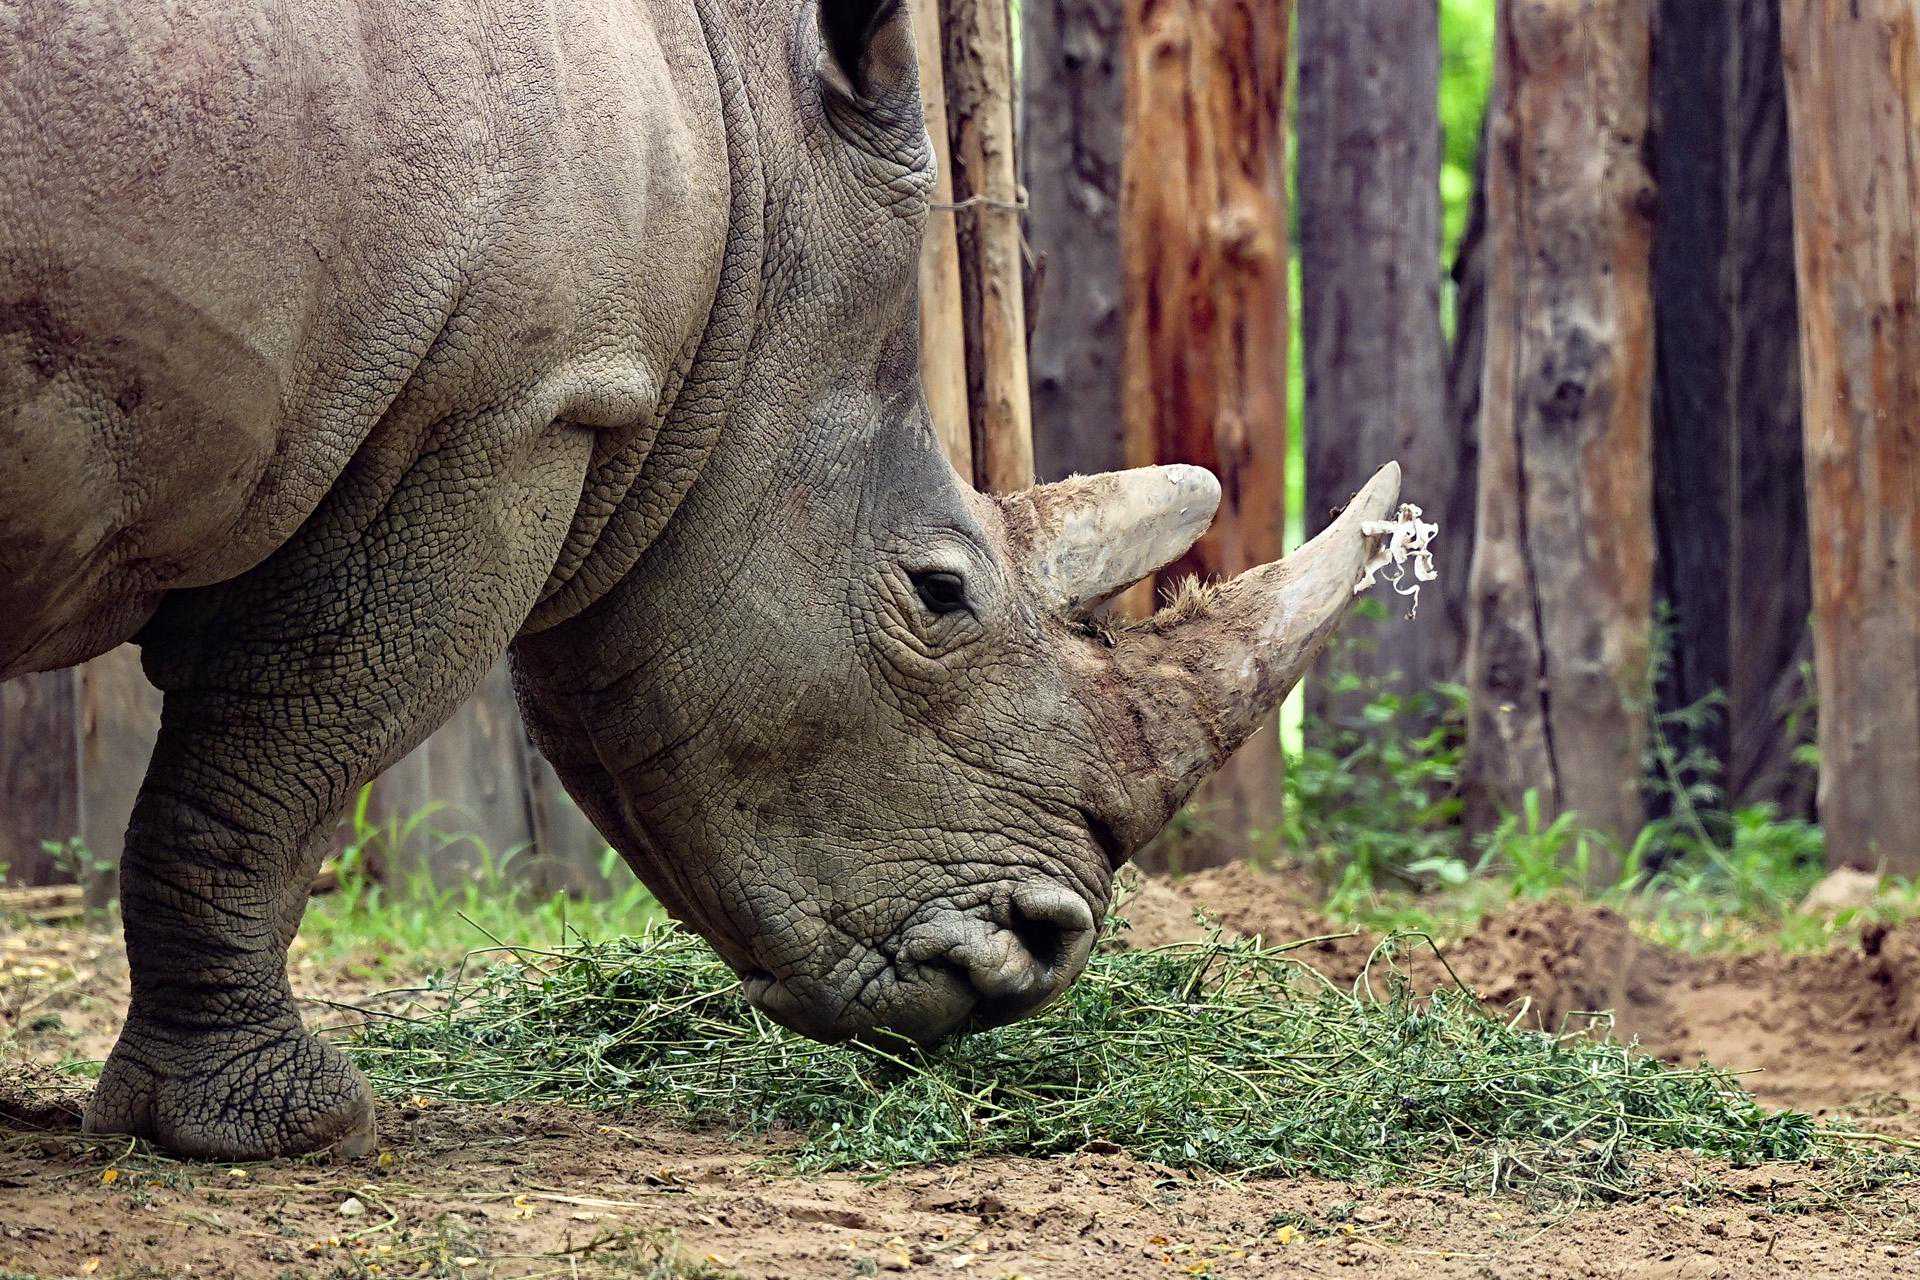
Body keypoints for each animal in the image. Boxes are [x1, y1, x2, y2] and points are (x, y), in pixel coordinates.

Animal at [0, 0, 1400, 1160]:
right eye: (942, 592)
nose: (1044, 953)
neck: (757, 187)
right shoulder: (505, 409)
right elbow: (280, 758)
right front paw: (282, 1131)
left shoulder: (501, 400)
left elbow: (252, 754)